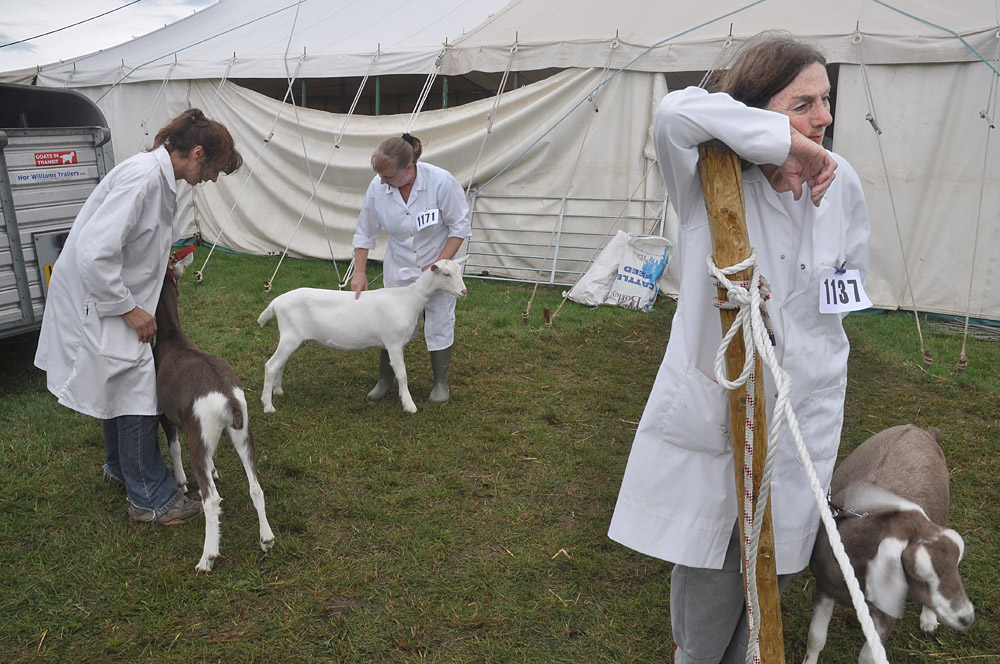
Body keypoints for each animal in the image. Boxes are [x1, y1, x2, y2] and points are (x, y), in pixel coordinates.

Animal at [151, 252, 274, 572]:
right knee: (256, 486)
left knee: (211, 500)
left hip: (201, 434)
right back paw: (266, 539)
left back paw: (207, 558)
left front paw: (181, 483)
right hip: (242, 432)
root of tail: (227, 397)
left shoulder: (164, 415)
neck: (172, 338)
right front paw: (216, 469)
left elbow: (174, 445)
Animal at [254, 255, 464, 416]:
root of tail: (275, 303)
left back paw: (278, 391)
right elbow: (402, 374)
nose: (464, 291)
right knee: (271, 366)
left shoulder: (390, 342)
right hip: (290, 336)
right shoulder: (394, 341)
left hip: (291, 338)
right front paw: (409, 405)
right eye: (446, 274)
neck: (408, 299)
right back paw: (268, 405)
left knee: (280, 364)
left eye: (460, 272)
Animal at [804, 426, 976, 664]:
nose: (966, 617)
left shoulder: (887, 612)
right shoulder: (823, 587)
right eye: (918, 573)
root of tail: (917, 429)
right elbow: (816, 638)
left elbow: (869, 656)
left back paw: (928, 619)